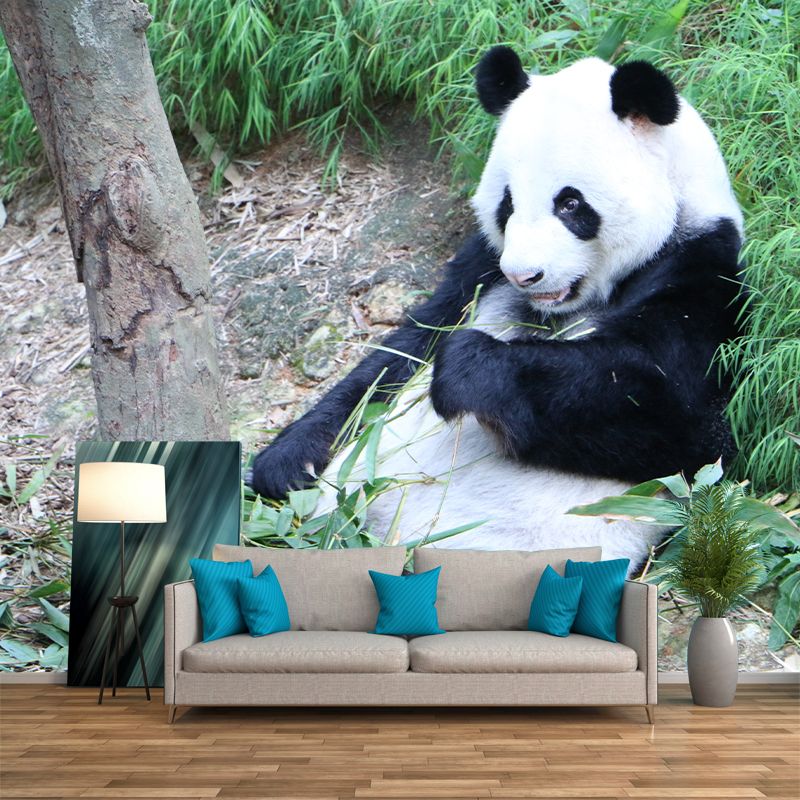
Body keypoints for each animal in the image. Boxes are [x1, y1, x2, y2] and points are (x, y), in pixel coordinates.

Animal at [249, 47, 745, 568]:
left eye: (571, 204)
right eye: (508, 203)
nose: (524, 275)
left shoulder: (699, 269)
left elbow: (684, 424)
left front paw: (469, 369)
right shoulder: (480, 268)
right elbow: (400, 355)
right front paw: (288, 460)